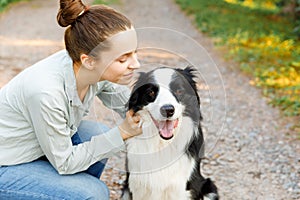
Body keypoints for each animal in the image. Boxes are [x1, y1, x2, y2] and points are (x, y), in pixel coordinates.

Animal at [121, 66, 218, 199]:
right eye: (151, 92)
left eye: (179, 91)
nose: (167, 110)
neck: (162, 143)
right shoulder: (137, 186)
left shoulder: (181, 188)